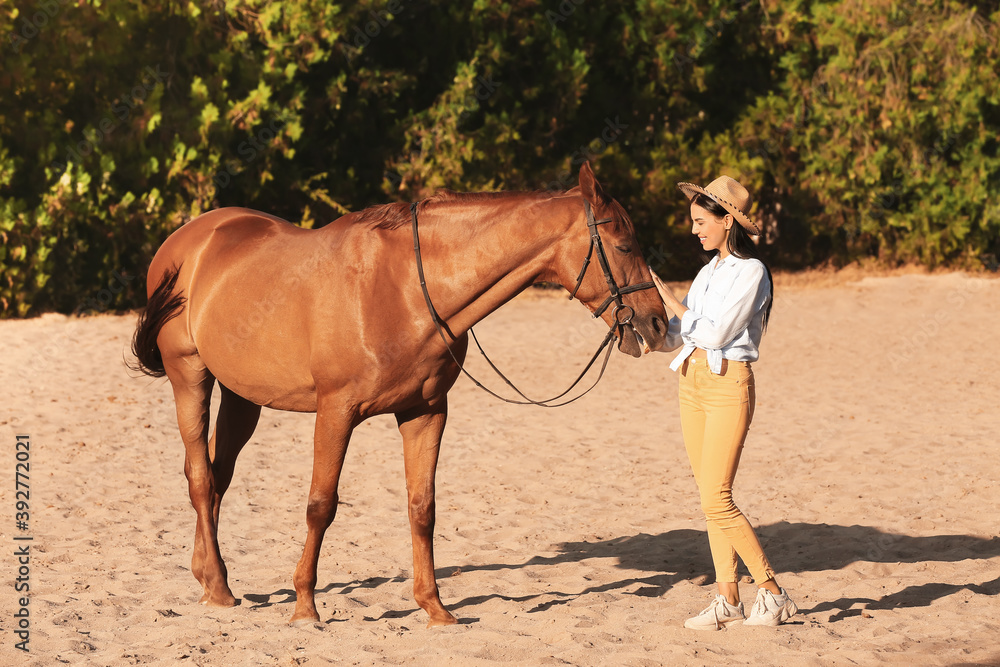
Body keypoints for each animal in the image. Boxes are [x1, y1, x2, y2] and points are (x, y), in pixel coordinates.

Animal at [129, 162, 668, 628]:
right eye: (623, 245)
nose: (658, 324)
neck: (405, 287)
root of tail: (186, 240)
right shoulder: (336, 411)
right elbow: (321, 505)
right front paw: (305, 606)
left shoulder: (425, 412)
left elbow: (421, 507)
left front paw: (435, 608)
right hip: (189, 377)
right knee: (201, 477)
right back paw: (220, 589)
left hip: (244, 397)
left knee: (216, 476)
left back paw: (206, 575)